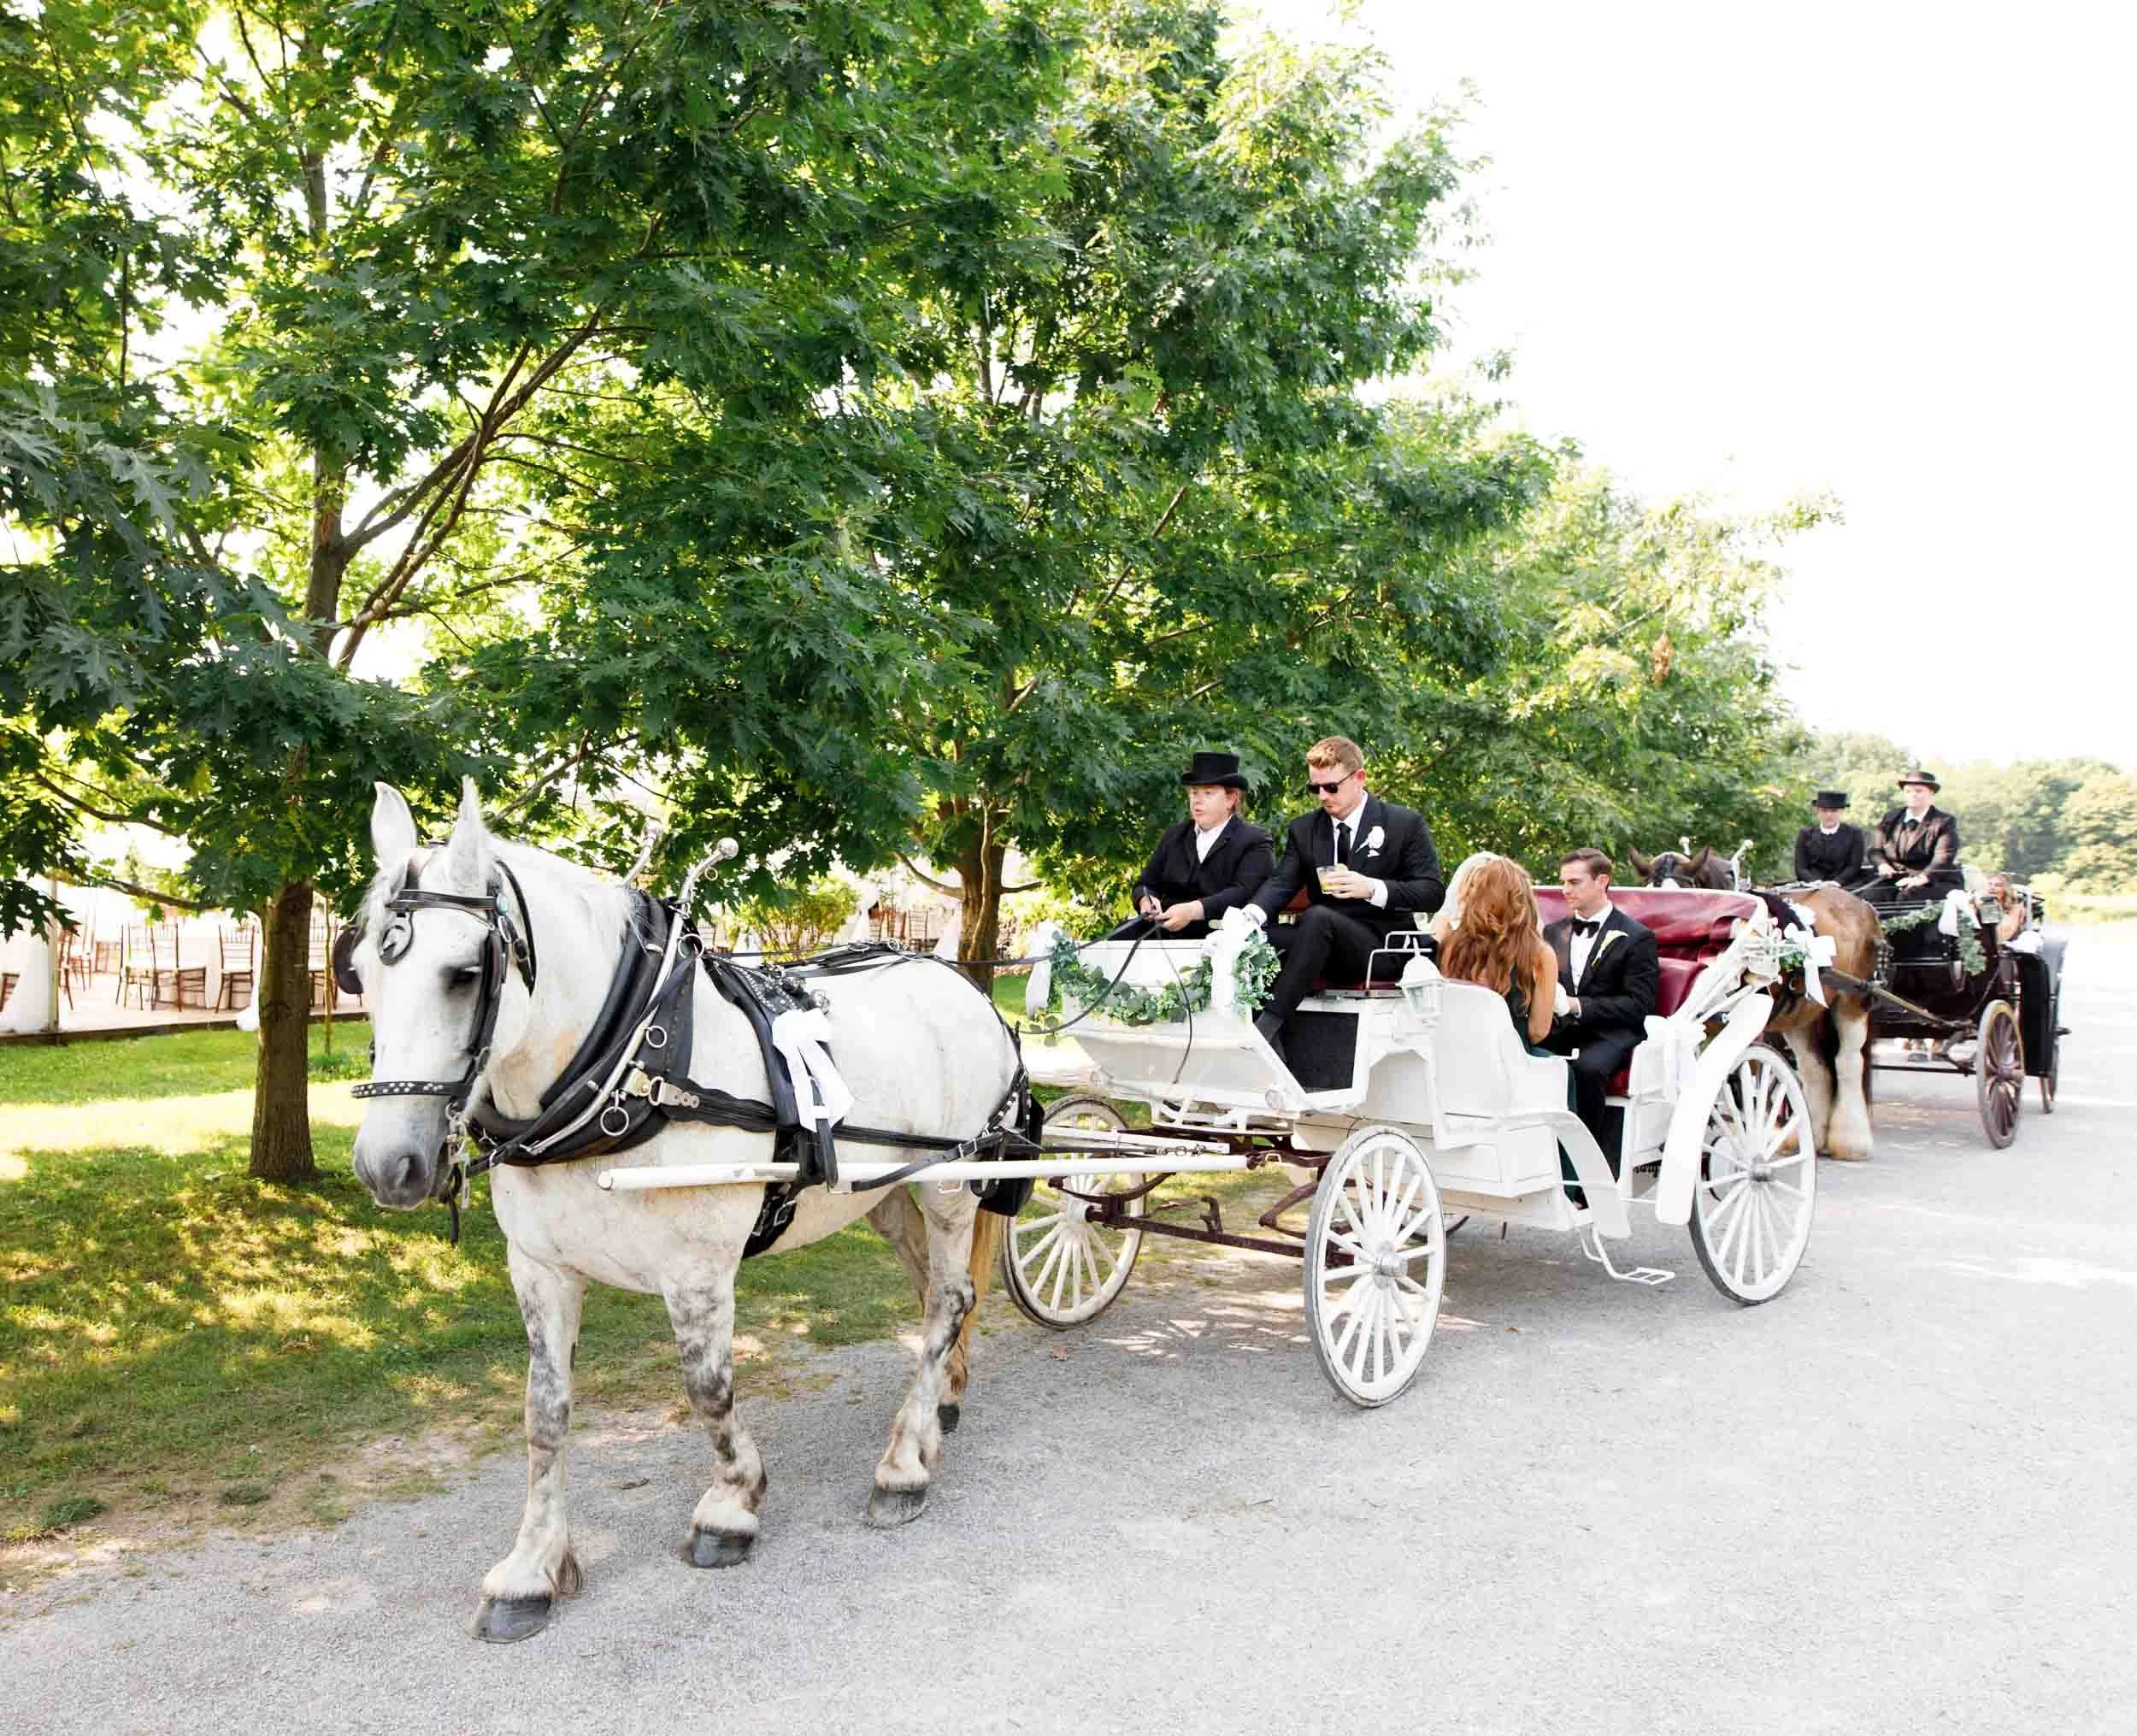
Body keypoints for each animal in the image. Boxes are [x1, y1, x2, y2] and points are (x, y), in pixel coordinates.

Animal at [347, 782, 1019, 1642]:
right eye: (360, 972)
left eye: (464, 973)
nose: (387, 1165)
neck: (631, 1061)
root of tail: (966, 985)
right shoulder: (540, 1270)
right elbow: (543, 1413)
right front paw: (532, 1567)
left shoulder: (696, 1269)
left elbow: (708, 1387)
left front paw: (731, 1505)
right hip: (890, 1189)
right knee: (934, 1292)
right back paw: (935, 1415)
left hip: (951, 1181)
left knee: (949, 1299)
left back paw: (901, 1466)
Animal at [1631, 843, 1878, 1160]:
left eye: (1685, 899)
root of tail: (1860, 904)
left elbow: (1742, 1081)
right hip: (1802, 1016)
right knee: (1815, 1068)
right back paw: (1809, 1137)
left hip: (1853, 1001)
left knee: (1848, 1063)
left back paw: (1851, 1142)